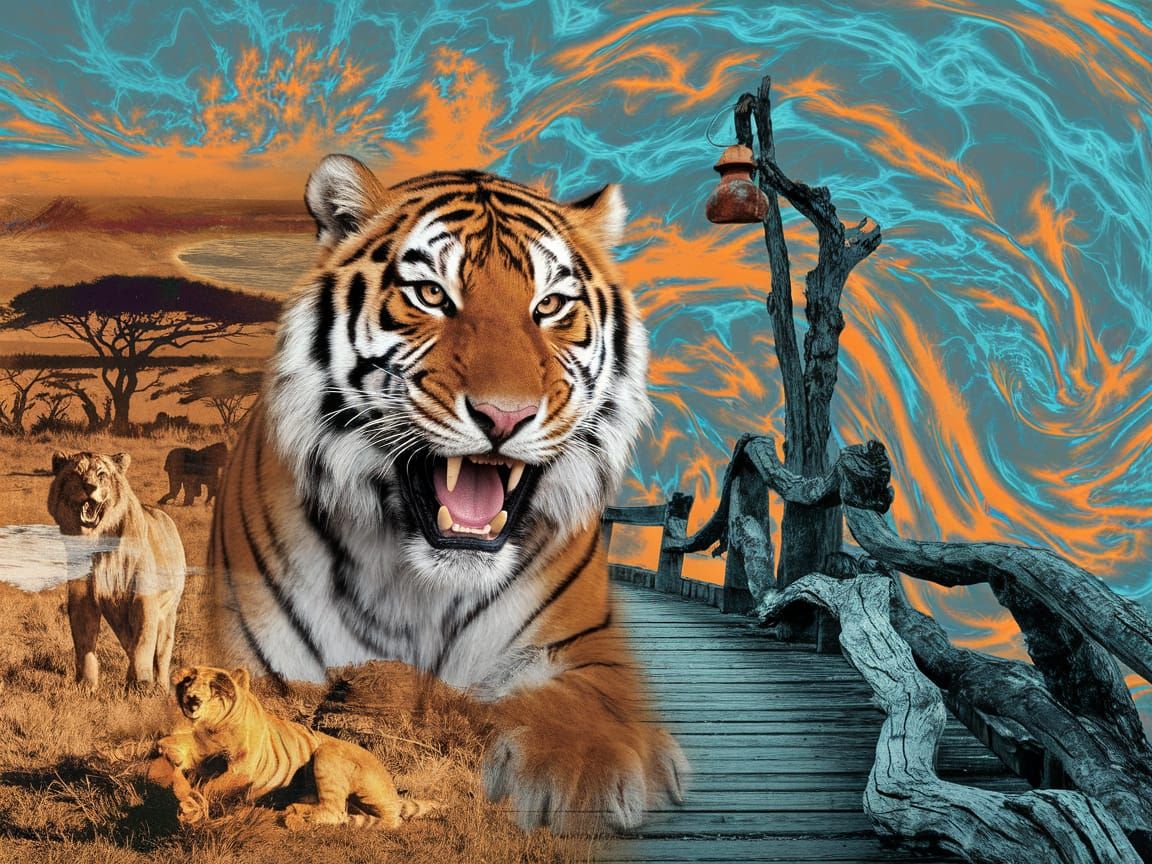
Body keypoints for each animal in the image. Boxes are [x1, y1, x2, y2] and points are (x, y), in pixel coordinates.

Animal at [149, 664, 441, 828]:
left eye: (214, 686)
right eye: (189, 681)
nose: (192, 700)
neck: (209, 726)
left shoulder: (242, 768)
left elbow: (212, 787)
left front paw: (193, 807)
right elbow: (171, 747)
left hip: (327, 754)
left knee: (340, 812)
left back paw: (294, 814)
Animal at [209, 154, 687, 831]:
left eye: (550, 305)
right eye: (432, 295)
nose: (505, 415)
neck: (420, 585)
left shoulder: (588, 648)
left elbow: (588, 705)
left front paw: (585, 769)